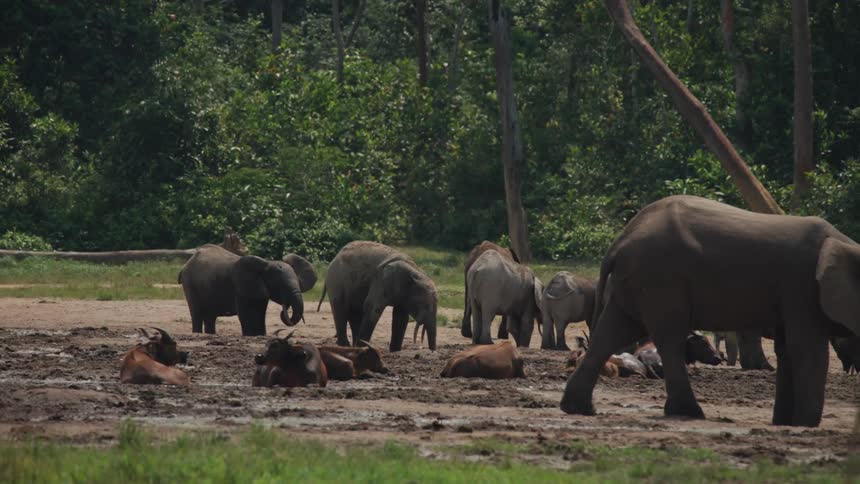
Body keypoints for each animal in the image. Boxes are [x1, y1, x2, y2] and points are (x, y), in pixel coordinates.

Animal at [178, 244, 317, 336]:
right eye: (280, 286)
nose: (286, 307)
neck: (266, 264)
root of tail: (186, 264)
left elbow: (260, 313)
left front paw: (260, 335)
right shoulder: (240, 286)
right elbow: (245, 314)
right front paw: (250, 335)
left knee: (210, 316)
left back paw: (211, 335)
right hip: (190, 284)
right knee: (196, 313)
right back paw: (197, 333)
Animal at [560, 195, 860, 427]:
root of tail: (620, 239)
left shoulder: (794, 293)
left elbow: (787, 347)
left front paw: (786, 423)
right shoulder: (802, 287)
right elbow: (806, 347)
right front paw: (805, 425)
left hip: (639, 280)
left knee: (612, 331)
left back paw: (579, 409)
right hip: (660, 278)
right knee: (667, 336)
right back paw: (689, 413)